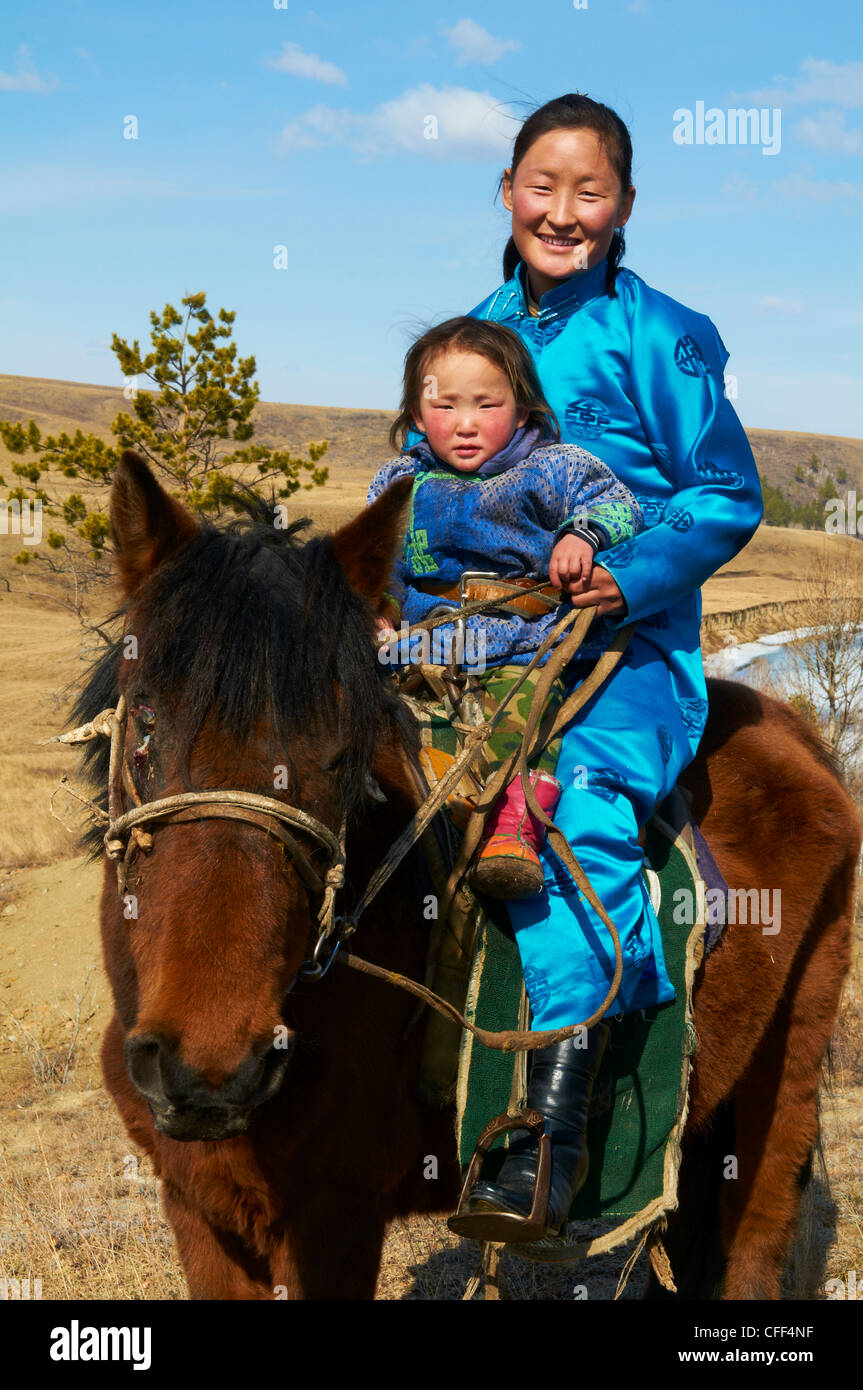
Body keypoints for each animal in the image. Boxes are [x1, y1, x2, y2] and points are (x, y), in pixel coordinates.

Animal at [72, 450, 856, 1295]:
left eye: (341, 751)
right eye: (145, 719)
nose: (211, 1063)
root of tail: (794, 733)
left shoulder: (331, 1219)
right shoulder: (200, 1210)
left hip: (780, 1086)